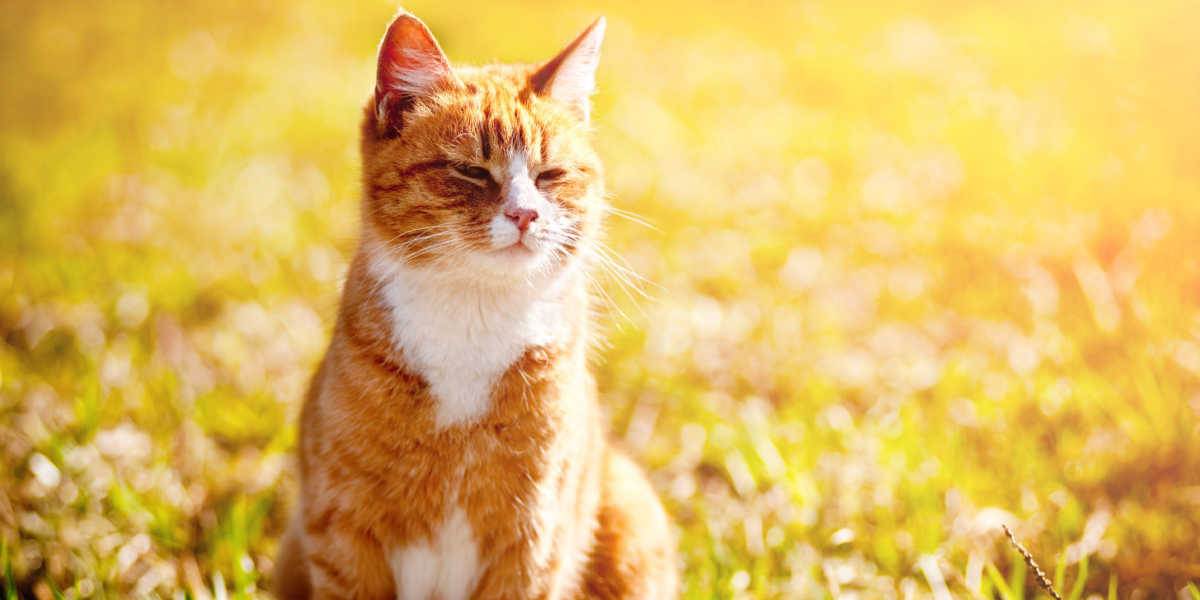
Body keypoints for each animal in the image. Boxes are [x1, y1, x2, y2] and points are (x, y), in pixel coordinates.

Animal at [274, 10, 681, 600]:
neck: (473, 318)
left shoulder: (532, 539)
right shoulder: (342, 531)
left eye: (550, 175)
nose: (525, 214)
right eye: (470, 170)